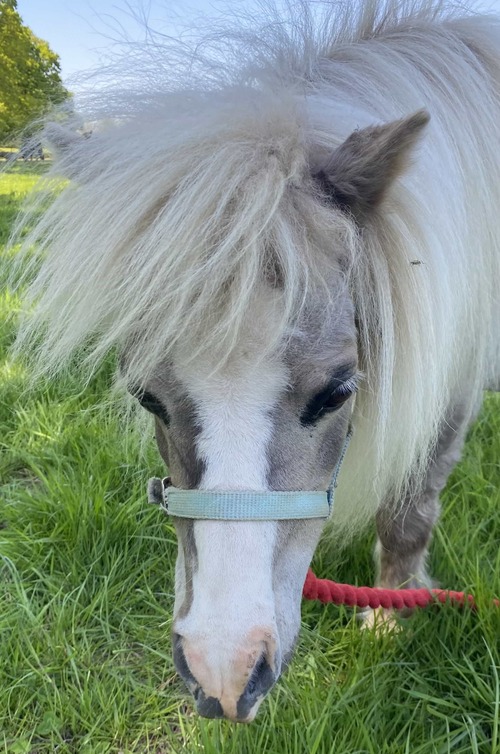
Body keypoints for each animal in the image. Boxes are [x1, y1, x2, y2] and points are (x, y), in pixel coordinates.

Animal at [12, 0, 500, 723]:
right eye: (146, 396)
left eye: (337, 392)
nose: (223, 672)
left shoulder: (453, 388)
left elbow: (408, 513)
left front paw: (389, 621)